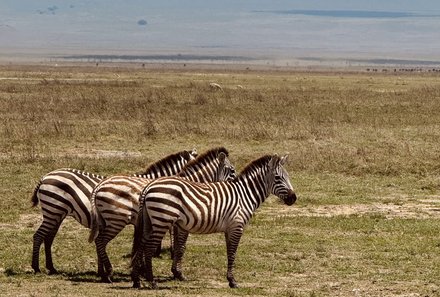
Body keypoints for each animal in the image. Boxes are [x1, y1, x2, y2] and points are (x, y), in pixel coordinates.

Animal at [30, 148, 196, 272]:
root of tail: (45, 176)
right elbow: (139, 244)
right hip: (53, 210)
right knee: (38, 236)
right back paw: (36, 267)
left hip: (57, 213)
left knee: (48, 238)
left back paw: (51, 268)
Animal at [87, 147, 235, 280]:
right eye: (232, 170)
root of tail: (99, 186)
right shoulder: (180, 223)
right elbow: (180, 247)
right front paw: (178, 273)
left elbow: (175, 245)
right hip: (117, 220)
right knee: (101, 241)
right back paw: (109, 272)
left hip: (105, 219)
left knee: (98, 242)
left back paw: (102, 272)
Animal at [130, 154, 296, 288]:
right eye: (278, 178)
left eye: (287, 176)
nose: (294, 198)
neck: (244, 195)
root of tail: (149, 186)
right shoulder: (237, 226)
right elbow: (232, 253)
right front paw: (232, 281)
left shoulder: (229, 228)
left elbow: (228, 252)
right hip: (161, 221)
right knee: (149, 248)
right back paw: (152, 282)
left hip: (150, 222)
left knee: (141, 245)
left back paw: (137, 280)